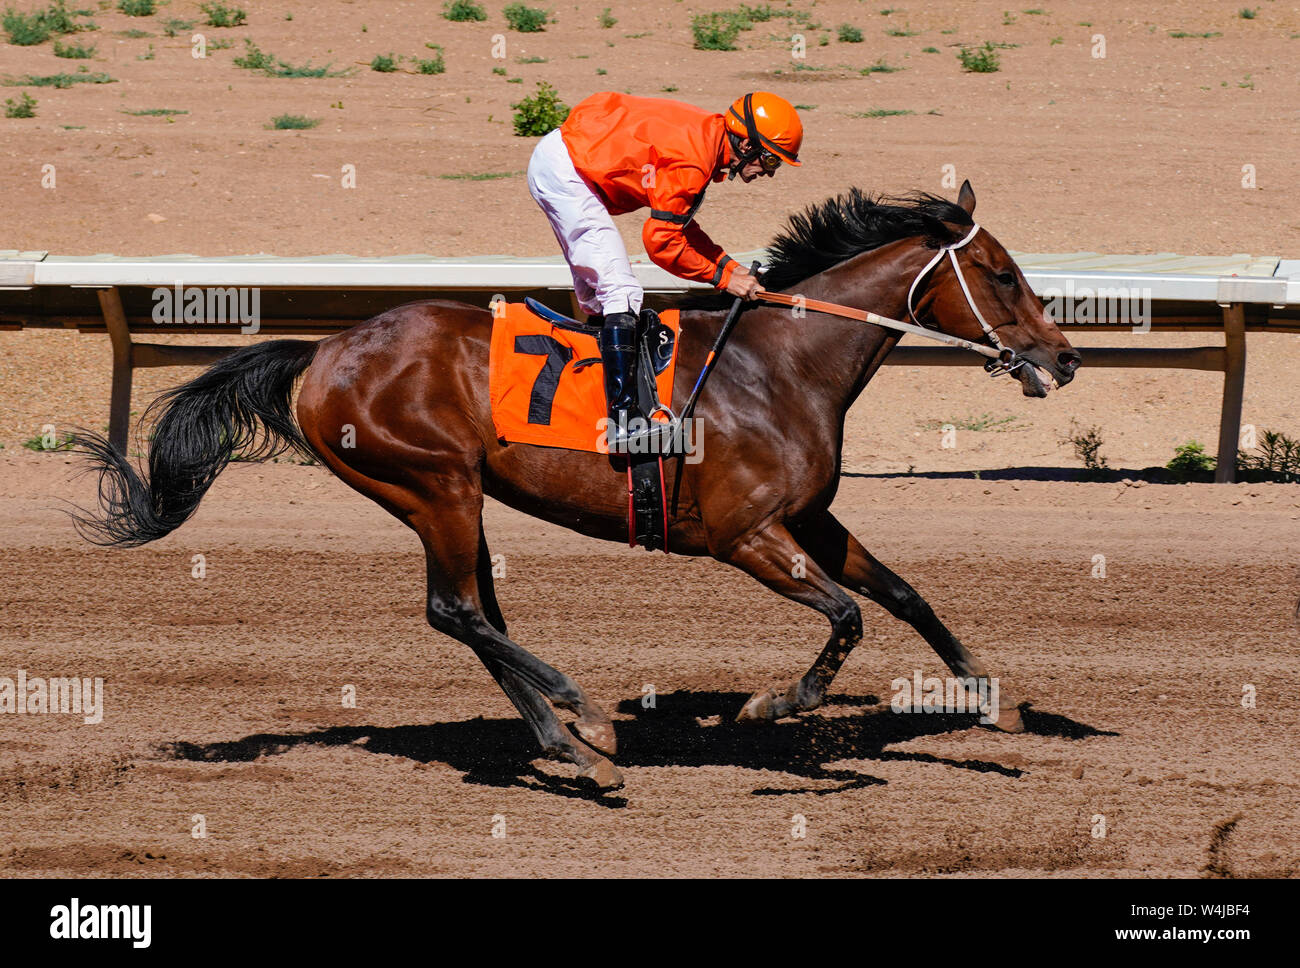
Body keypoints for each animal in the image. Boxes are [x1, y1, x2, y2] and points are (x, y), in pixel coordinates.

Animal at [71, 181, 1081, 792]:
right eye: (1000, 275)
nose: (1064, 358)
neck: (786, 364)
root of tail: (321, 351)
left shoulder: (810, 518)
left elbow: (905, 596)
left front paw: (996, 703)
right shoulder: (745, 536)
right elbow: (847, 616)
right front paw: (774, 705)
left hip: (447, 495)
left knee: (473, 613)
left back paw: (567, 742)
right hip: (434, 483)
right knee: (456, 610)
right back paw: (586, 719)